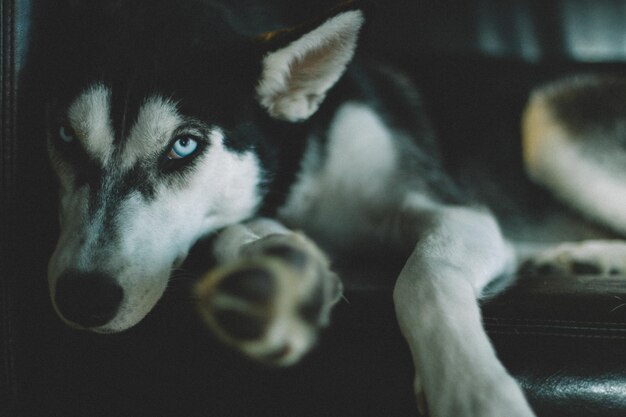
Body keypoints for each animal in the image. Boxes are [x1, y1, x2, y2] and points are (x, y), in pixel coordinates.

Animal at [46, 0, 624, 416]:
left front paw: (471, 389)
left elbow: (425, 275)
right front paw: (273, 259)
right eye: (66, 137)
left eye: (184, 146)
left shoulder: (459, 211)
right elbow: (231, 230)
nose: (82, 299)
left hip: (545, 124)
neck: (308, 179)